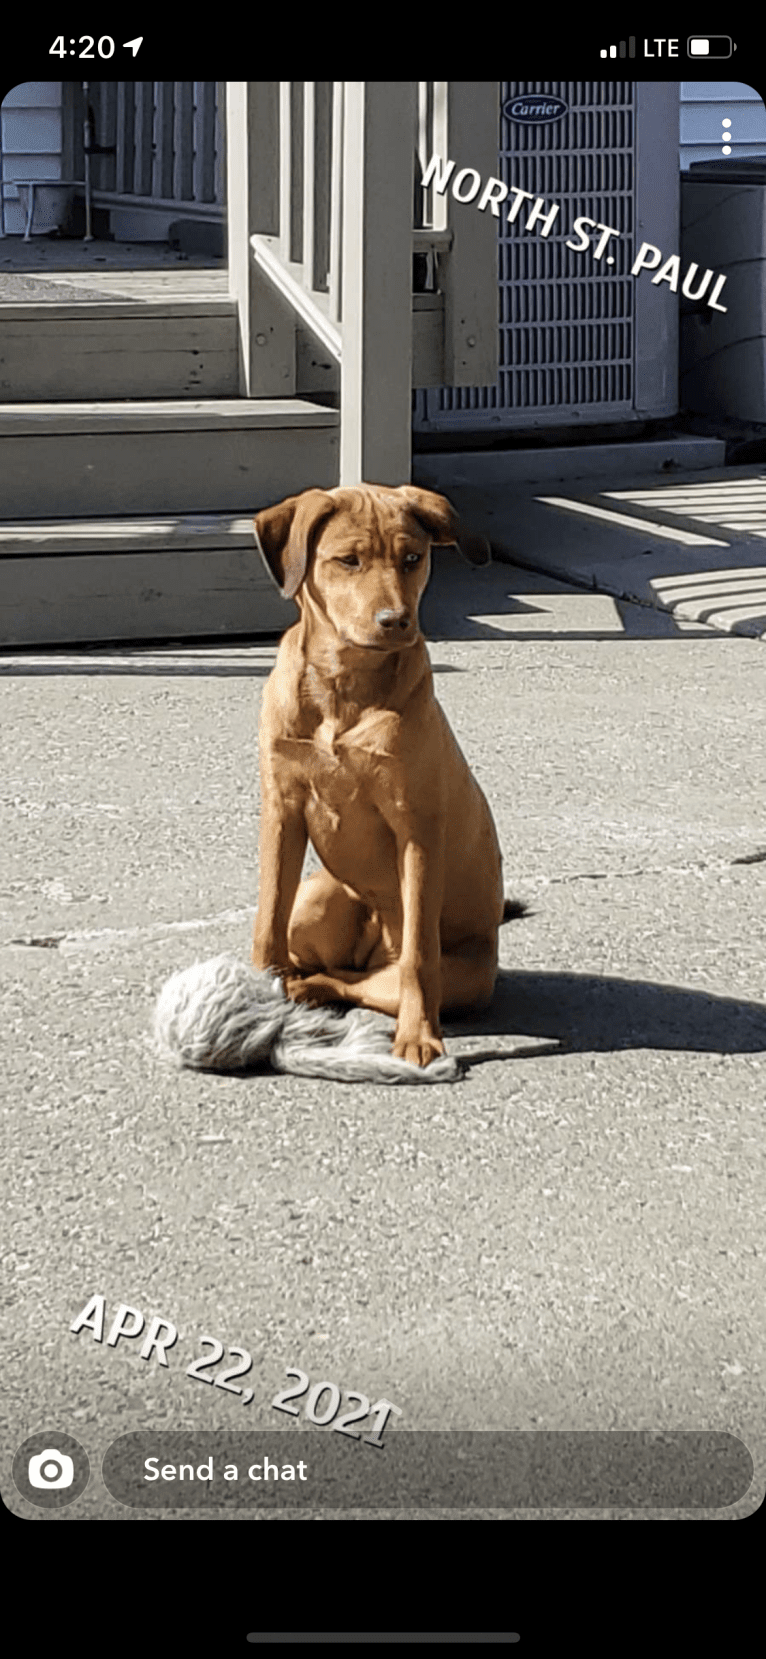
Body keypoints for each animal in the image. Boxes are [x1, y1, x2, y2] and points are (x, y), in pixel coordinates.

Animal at [252, 484, 513, 1068]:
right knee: (322, 962)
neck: (342, 687)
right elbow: (267, 918)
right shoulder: (282, 810)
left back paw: (313, 991)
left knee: (360, 982)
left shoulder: (415, 829)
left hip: (464, 977)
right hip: (317, 899)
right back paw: (294, 983)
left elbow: (419, 954)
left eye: (412, 558)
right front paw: (253, 987)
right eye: (348, 560)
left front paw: (418, 1037)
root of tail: (373, 950)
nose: (397, 620)